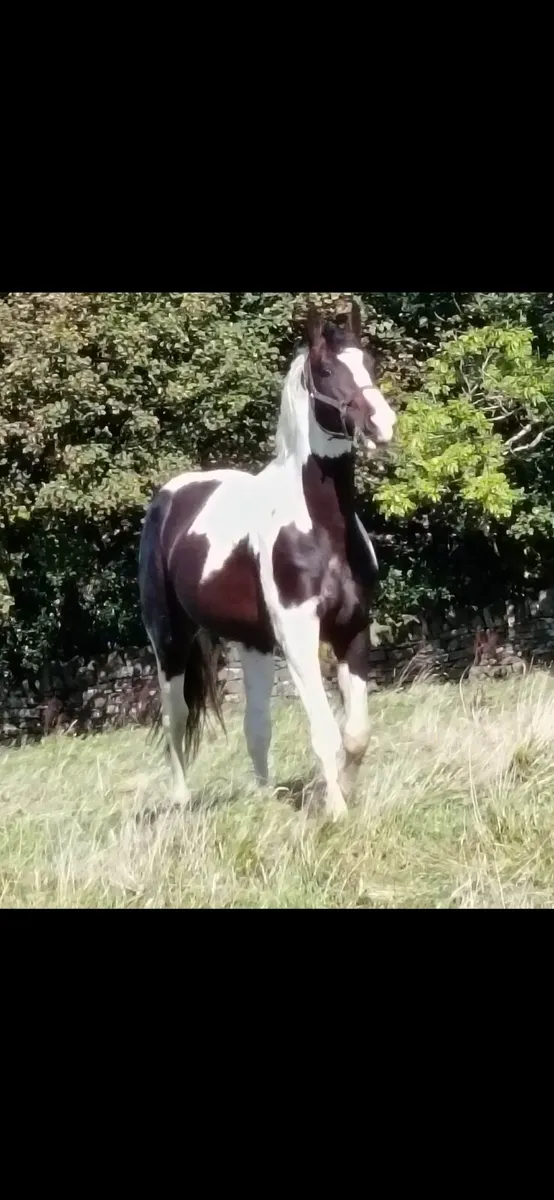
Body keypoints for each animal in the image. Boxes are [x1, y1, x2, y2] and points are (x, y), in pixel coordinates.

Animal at [139, 301, 396, 820]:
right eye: (326, 370)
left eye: (370, 363)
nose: (382, 424)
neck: (320, 529)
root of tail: (168, 498)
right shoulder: (298, 635)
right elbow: (324, 731)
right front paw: (336, 812)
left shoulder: (352, 628)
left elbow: (356, 734)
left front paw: (345, 794)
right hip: (169, 641)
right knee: (176, 720)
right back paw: (181, 805)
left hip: (253, 643)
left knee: (255, 724)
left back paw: (265, 800)